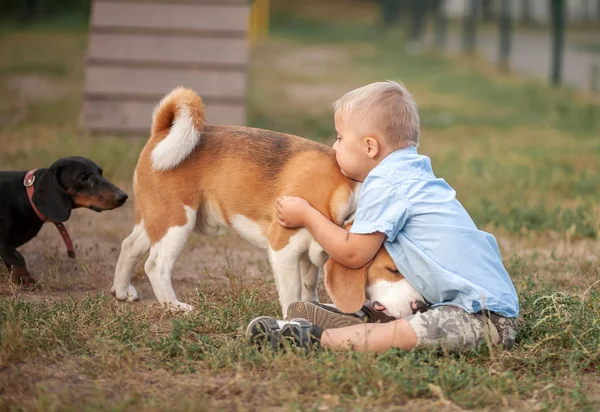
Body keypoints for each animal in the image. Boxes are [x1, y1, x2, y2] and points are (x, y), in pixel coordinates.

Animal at [110, 87, 424, 318]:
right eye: (393, 270)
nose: (419, 305)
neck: (349, 193)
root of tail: (162, 131)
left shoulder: (310, 254)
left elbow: (309, 287)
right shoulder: (283, 249)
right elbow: (293, 292)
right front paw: (292, 319)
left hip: (158, 219)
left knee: (130, 245)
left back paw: (121, 290)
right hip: (177, 222)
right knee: (155, 265)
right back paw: (172, 305)